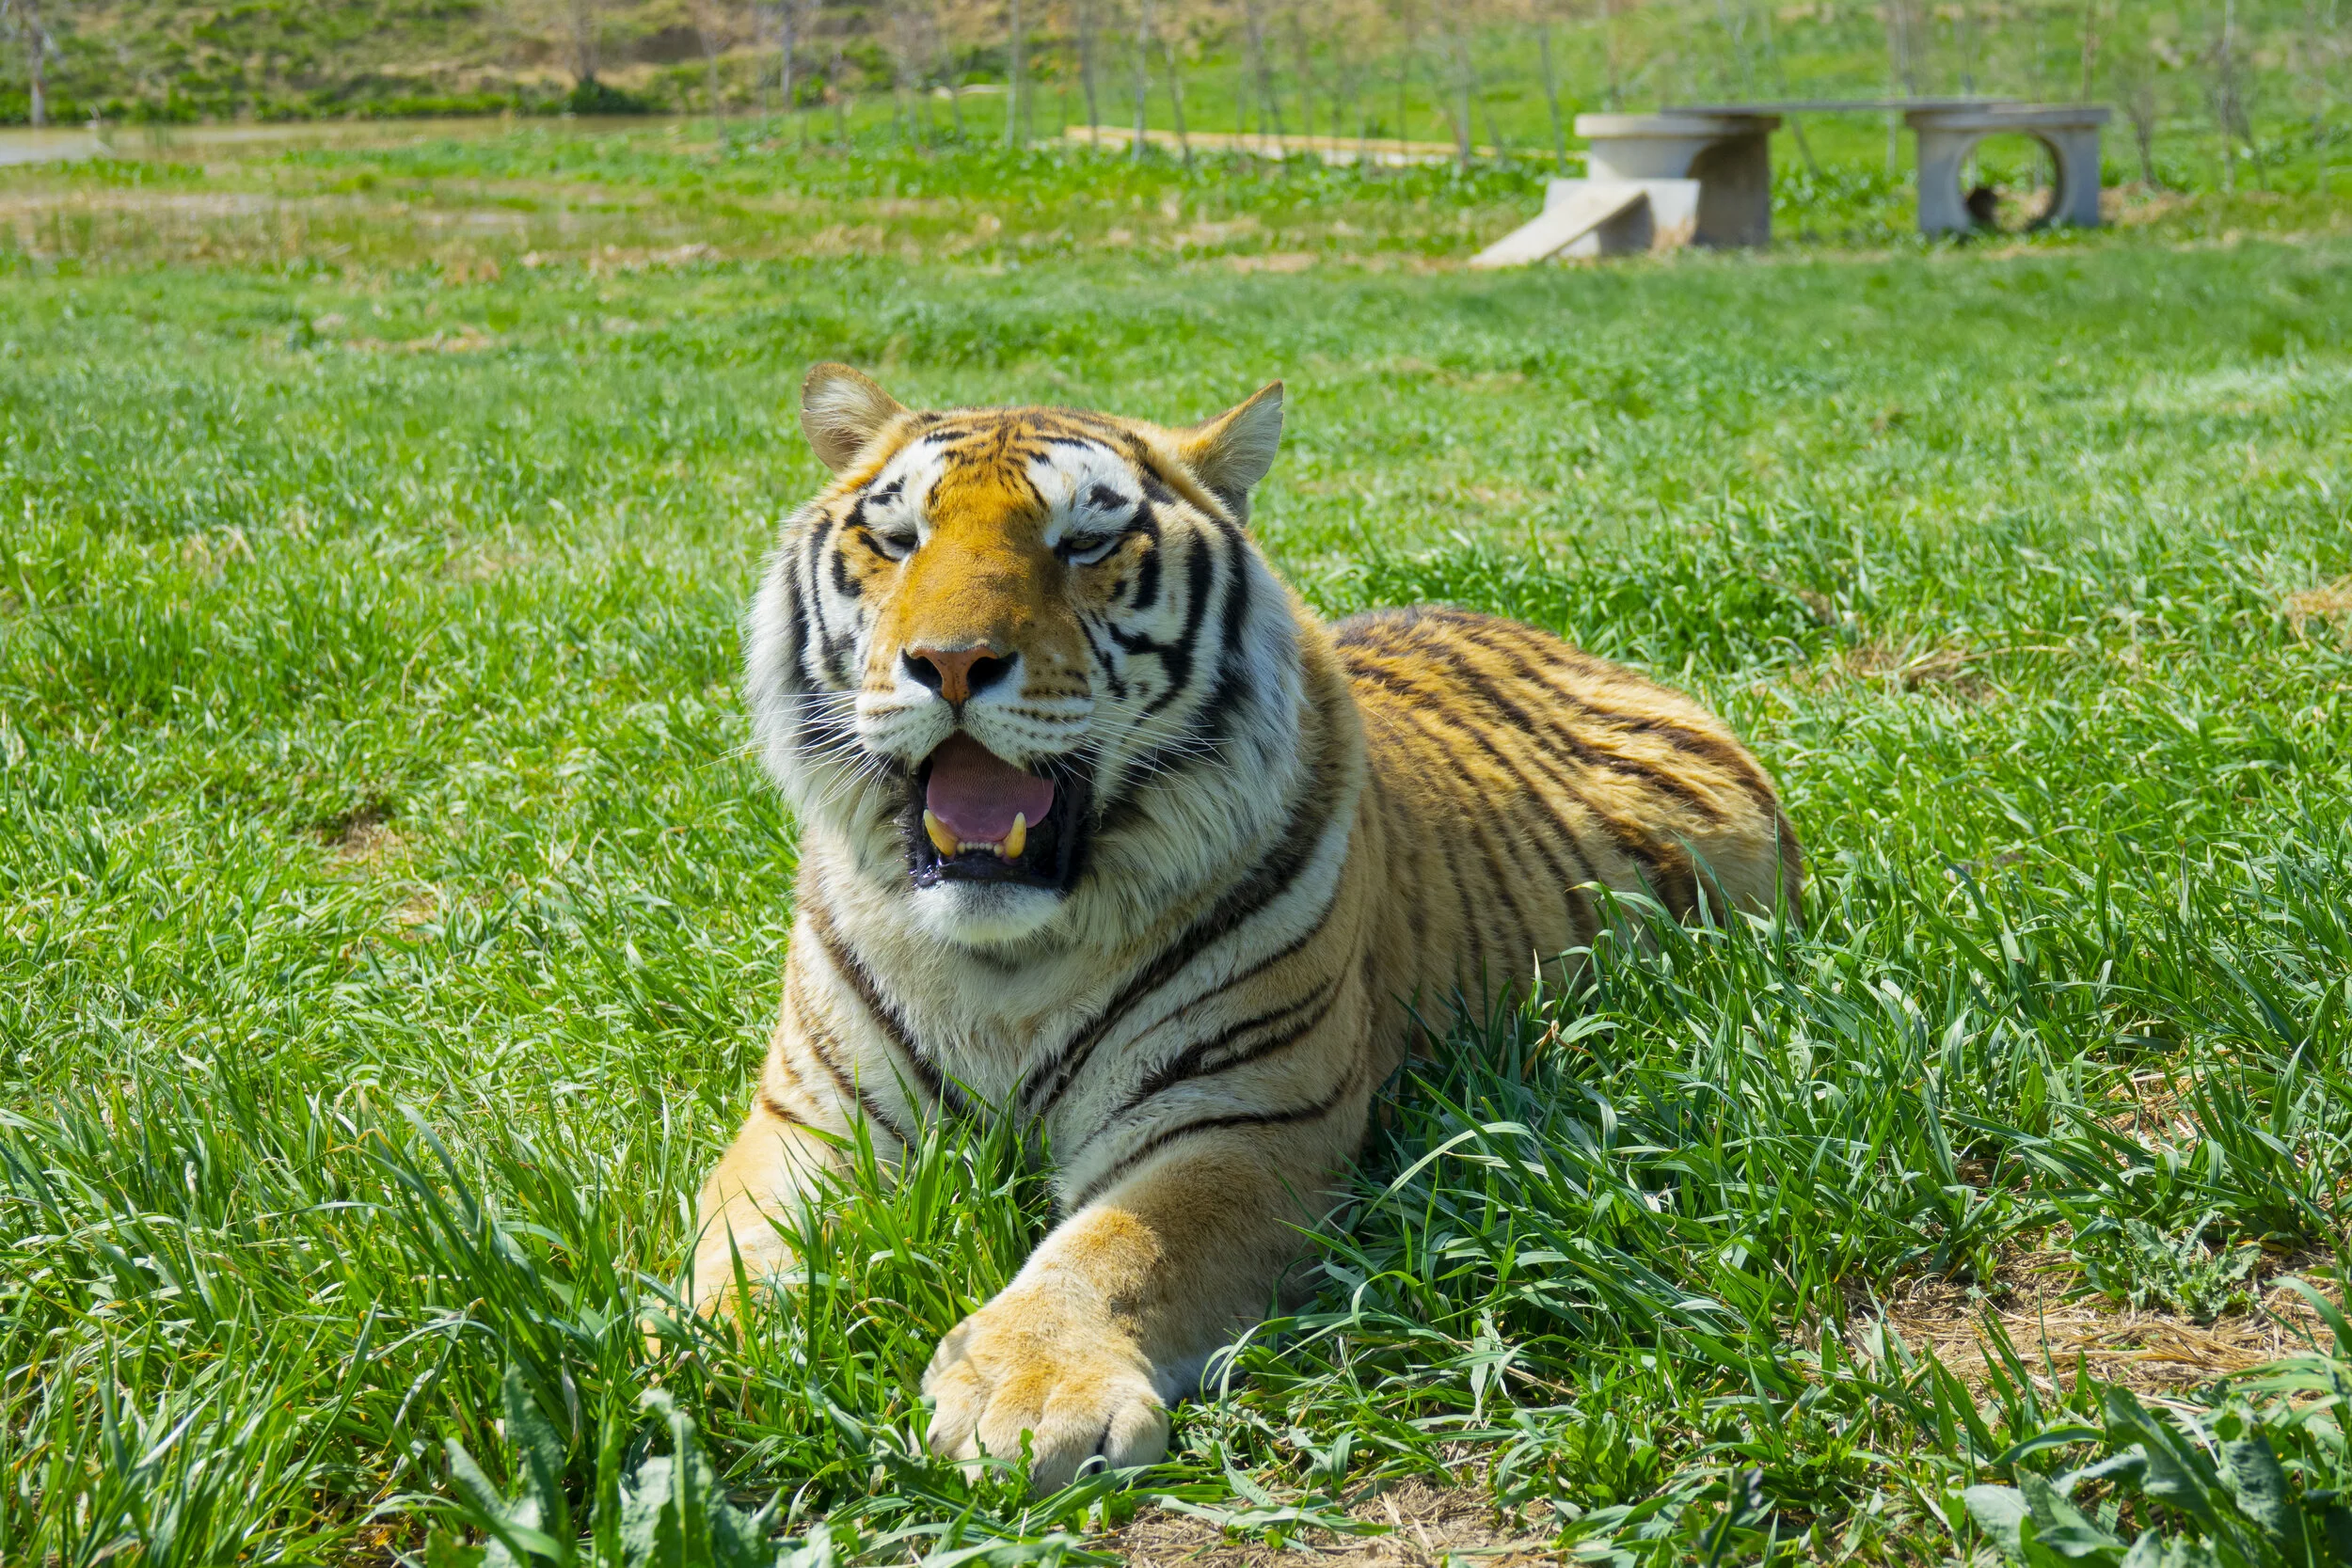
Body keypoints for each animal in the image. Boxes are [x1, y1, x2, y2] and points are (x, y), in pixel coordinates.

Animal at [693, 363, 1802, 1491]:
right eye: (898, 539)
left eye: (1083, 543)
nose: (950, 662)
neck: (1004, 961)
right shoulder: (812, 1117)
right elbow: (738, 1248)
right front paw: (686, 1365)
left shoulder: (1240, 1117)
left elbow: (1120, 1243)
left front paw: (1032, 1393)